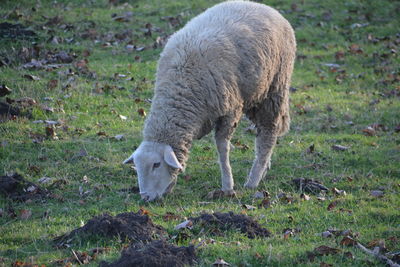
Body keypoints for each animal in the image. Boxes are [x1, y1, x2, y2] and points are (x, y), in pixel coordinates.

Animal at [123, 0, 296, 201]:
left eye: (156, 164)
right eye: (137, 167)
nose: (145, 197)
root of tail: (262, 6)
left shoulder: (230, 109)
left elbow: (222, 148)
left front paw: (227, 185)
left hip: (275, 87)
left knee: (268, 132)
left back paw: (254, 179)